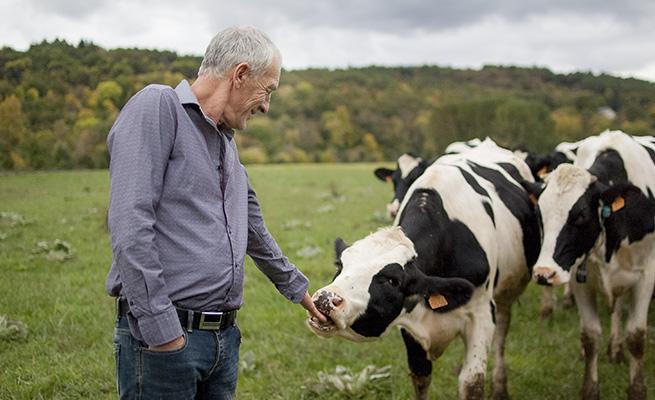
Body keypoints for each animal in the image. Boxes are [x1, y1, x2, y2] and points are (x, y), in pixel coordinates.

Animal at [310, 139, 540, 398]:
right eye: (340, 264)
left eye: (393, 280)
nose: (325, 299)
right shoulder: (410, 323)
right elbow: (420, 376)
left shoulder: (481, 313)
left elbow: (472, 382)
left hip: (506, 294)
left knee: (502, 329)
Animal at [528, 130, 655, 398]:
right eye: (538, 213)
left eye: (581, 215)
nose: (544, 273)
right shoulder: (580, 279)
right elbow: (590, 336)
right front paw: (589, 388)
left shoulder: (646, 276)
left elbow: (636, 337)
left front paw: (637, 390)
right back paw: (613, 348)